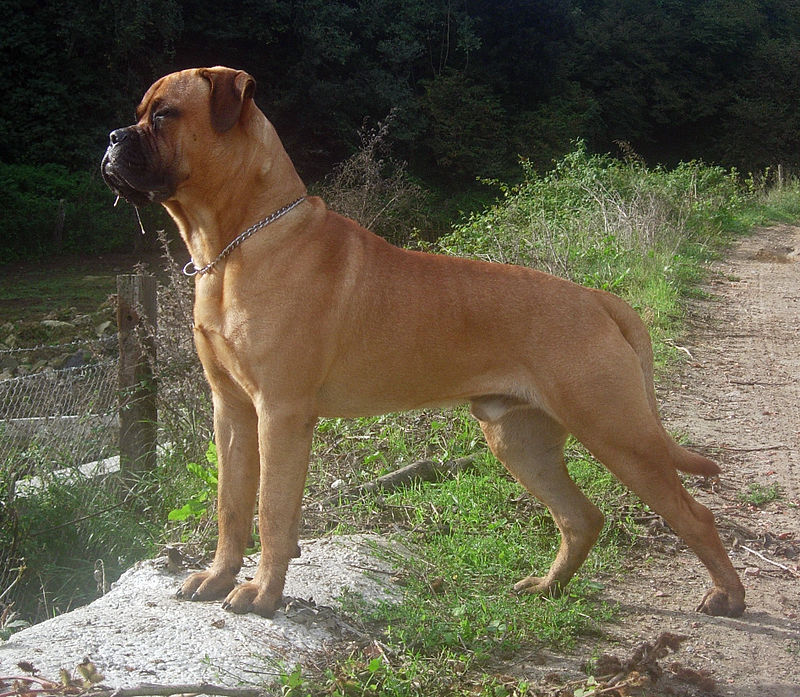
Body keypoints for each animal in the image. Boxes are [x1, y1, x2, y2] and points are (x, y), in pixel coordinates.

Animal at [103, 68, 748, 616]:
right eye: (140, 113)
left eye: (163, 115)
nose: (111, 137)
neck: (235, 244)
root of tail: (595, 297)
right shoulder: (232, 409)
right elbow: (231, 506)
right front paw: (217, 578)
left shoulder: (280, 413)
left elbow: (273, 510)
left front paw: (262, 593)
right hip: (519, 439)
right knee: (581, 517)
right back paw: (548, 587)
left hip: (617, 430)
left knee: (694, 515)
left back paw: (728, 597)